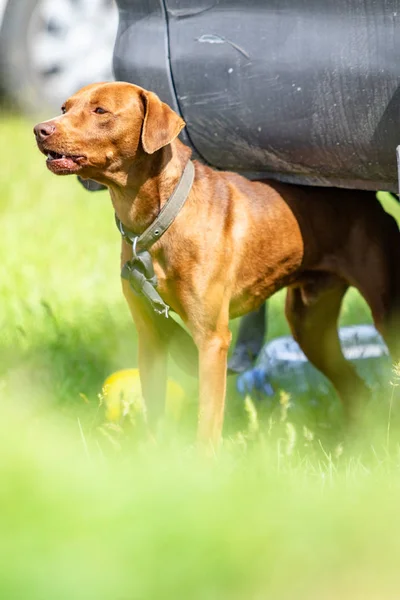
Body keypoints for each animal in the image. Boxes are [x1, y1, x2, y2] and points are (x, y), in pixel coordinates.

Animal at [33, 81, 400, 446]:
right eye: (65, 108)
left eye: (101, 111)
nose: (40, 129)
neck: (157, 219)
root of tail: (366, 197)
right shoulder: (150, 336)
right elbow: (154, 413)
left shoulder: (211, 340)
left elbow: (207, 423)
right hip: (309, 324)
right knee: (356, 389)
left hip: (384, 315)